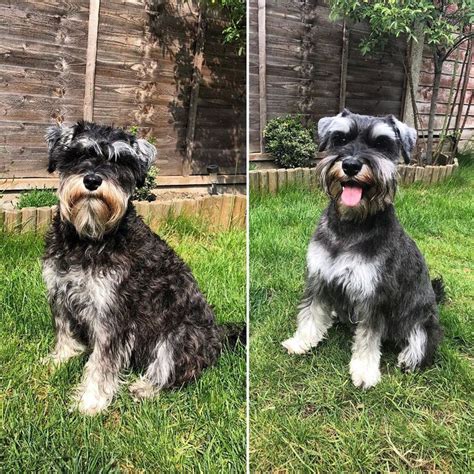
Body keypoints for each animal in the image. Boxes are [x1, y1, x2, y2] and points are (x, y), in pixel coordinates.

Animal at [42, 122, 243, 414]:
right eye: (78, 154)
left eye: (119, 161)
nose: (92, 181)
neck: (88, 239)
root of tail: (218, 336)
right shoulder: (60, 294)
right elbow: (64, 332)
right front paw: (60, 359)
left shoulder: (112, 315)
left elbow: (102, 363)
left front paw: (90, 403)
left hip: (178, 337)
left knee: (177, 372)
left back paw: (145, 388)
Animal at [284, 111, 442, 388]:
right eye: (340, 138)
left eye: (381, 143)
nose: (350, 165)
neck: (351, 225)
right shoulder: (319, 279)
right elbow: (311, 313)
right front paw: (301, 342)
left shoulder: (374, 295)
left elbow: (368, 337)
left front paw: (365, 372)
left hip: (422, 319)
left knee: (421, 342)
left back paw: (408, 358)